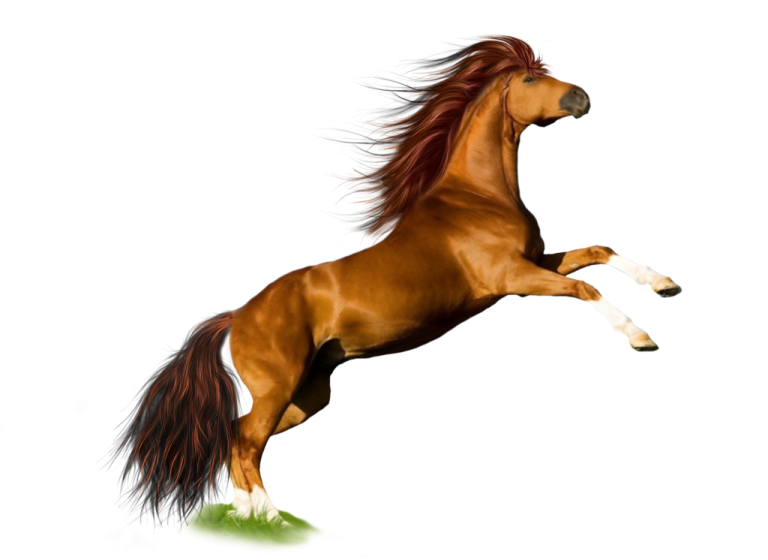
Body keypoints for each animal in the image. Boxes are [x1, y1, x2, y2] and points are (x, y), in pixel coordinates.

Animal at [107, 34, 682, 532]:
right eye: (526, 79)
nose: (583, 96)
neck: (478, 197)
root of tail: (232, 319)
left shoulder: (540, 259)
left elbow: (598, 252)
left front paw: (664, 284)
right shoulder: (512, 278)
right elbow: (586, 289)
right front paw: (640, 337)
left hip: (309, 394)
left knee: (237, 441)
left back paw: (250, 519)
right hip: (277, 386)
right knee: (246, 441)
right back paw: (272, 521)